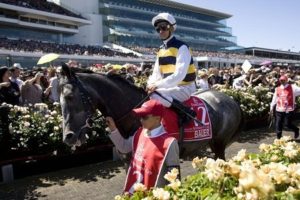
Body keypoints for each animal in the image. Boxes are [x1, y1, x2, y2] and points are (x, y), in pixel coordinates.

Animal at [58, 65, 244, 160]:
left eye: (69, 96)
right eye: (58, 99)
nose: (68, 137)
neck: (134, 114)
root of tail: (232, 101)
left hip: (219, 144)